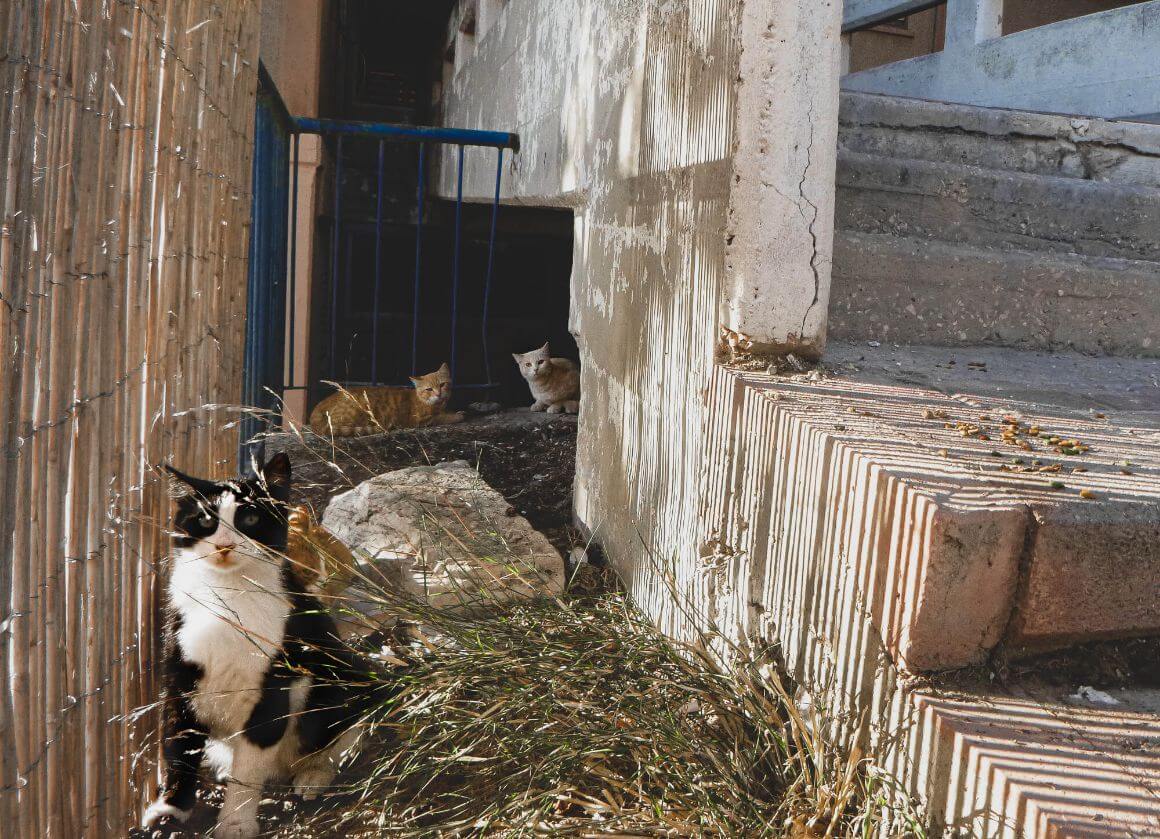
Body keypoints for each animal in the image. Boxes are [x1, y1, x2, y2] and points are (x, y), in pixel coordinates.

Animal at [141, 457, 371, 839]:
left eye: (249, 519)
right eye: (205, 519)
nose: (224, 545)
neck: (226, 593)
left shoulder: (273, 686)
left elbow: (249, 768)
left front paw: (236, 822)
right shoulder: (179, 672)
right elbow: (179, 745)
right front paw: (170, 809)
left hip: (340, 672)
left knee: (343, 732)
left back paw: (313, 775)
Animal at [313, 362, 470, 438]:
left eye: (442, 385)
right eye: (429, 389)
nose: (438, 393)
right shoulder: (419, 420)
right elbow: (441, 418)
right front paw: (457, 415)